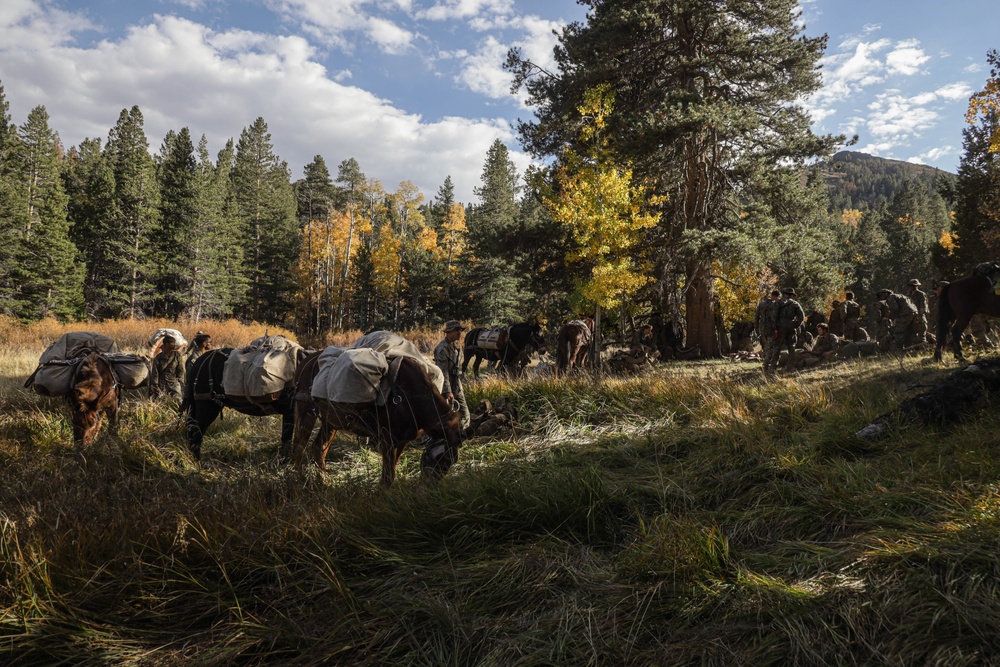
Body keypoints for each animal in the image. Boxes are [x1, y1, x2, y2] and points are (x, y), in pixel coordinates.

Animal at [290, 354, 460, 486]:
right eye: (438, 458)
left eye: (450, 462)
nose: (430, 486)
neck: (409, 396)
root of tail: (305, 362)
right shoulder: (386, 438)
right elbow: (388, 477)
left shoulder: (404, 440)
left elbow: (392, 468)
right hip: (306, 412)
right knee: (299, 447)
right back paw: (299, 480)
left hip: (330, 421)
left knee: (319, 448)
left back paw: (323, 480)